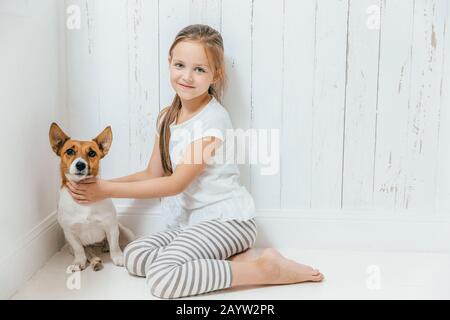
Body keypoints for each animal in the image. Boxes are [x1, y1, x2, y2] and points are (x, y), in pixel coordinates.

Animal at [49, 122, 134, 272]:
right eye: (69, 151)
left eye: (92, 153)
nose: (80, 164)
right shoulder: (70, 233)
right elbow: (79, 250)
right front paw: (79, 262)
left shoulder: (112, 227)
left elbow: (115, 246)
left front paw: (118, 258)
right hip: (71, 246)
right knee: (89, 251)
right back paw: (95, 261)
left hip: (126, 231)